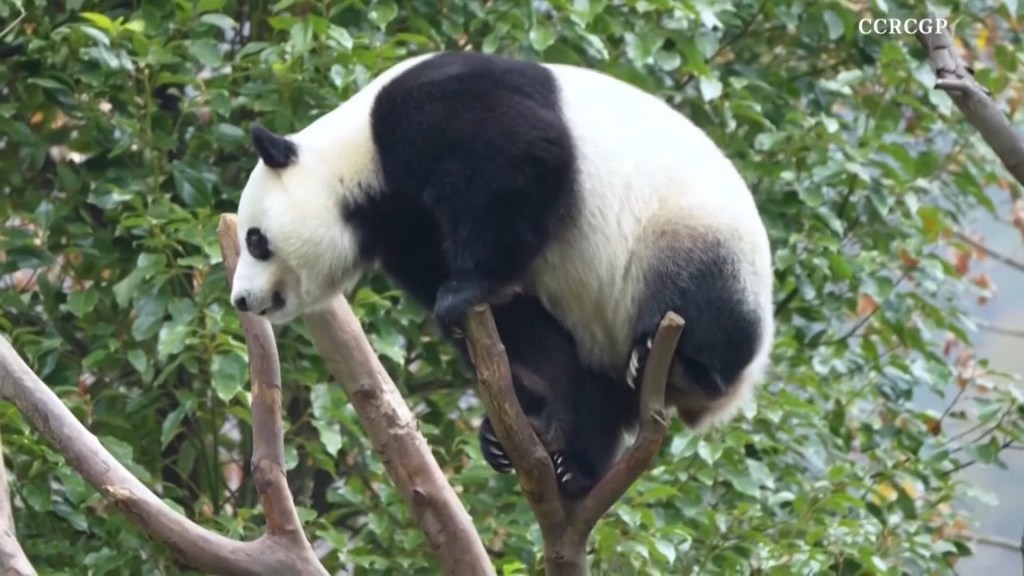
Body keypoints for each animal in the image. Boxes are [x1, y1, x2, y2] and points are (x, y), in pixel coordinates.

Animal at [230, 51, 774, 496]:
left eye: (255, 240)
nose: (241, 300)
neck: (358, 156)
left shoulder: (436, 109)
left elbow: (523, 160)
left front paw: (463, 292)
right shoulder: (407, 227)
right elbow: (519, 324)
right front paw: (529, 404)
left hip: (692, 236)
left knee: (696, 296)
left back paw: (678, 365)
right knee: (599, 390)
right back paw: (573, 464)